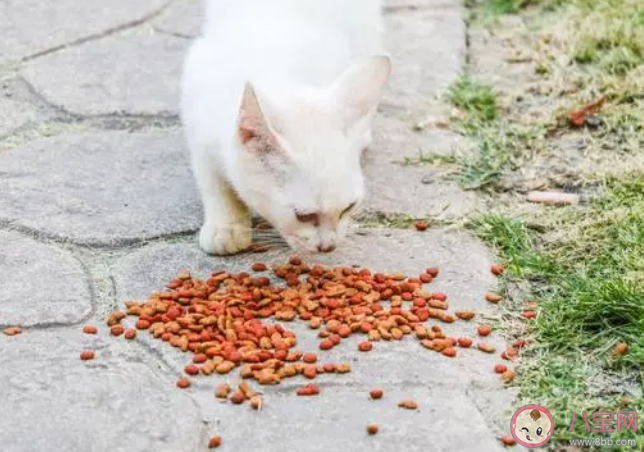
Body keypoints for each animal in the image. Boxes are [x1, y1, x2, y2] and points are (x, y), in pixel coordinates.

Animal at [181, 0, 392, 254]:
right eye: (303, 216)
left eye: (348, 207)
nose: (328, 246)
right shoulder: (196, 111)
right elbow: (214, 183)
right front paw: (227, 226)